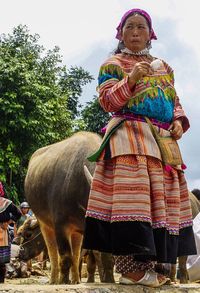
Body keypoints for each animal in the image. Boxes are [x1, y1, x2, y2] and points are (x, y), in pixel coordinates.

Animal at [24, 132, 111, 282]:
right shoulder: (60, 225)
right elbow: (65, 258)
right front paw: (63, 281)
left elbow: (105, 258)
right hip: (44, 223)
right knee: (53, 253)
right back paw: (54, 280)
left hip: (76, 231)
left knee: (76, 256)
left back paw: (76, 280)